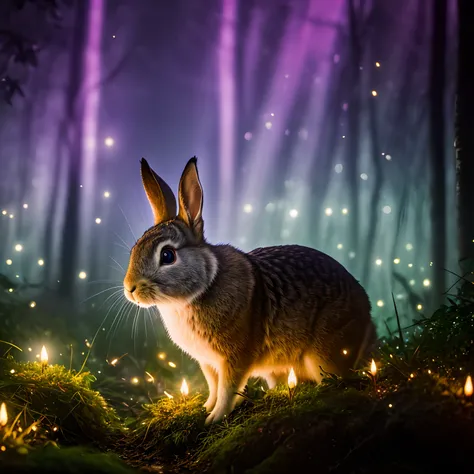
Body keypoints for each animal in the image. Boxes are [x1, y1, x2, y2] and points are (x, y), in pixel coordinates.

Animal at [123, 157, 378, 424]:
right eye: (135, 248)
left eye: (167, 255)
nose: (129, 288)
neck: (203, 286)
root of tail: (367, 315)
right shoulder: (208, 363)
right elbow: (213, 387)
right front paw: (206, 407)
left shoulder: (235, 358)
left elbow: (228, 389)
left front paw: (214, 418)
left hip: (324, 353)